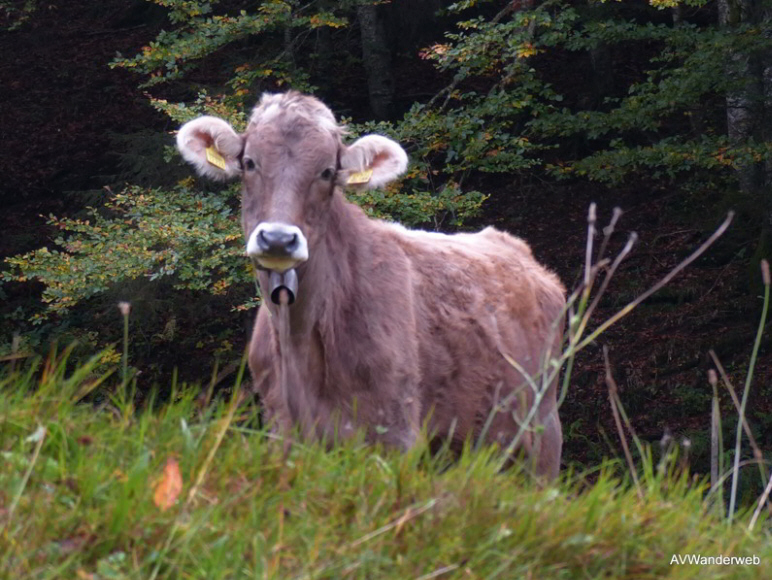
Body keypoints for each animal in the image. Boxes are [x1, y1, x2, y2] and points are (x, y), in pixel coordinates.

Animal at [176, 93, 568, 478]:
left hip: (543, 437)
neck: (302, 341)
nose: (278, 239)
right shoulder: (282, 429)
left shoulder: (393, 431)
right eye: (250, 162)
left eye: (327, 172)